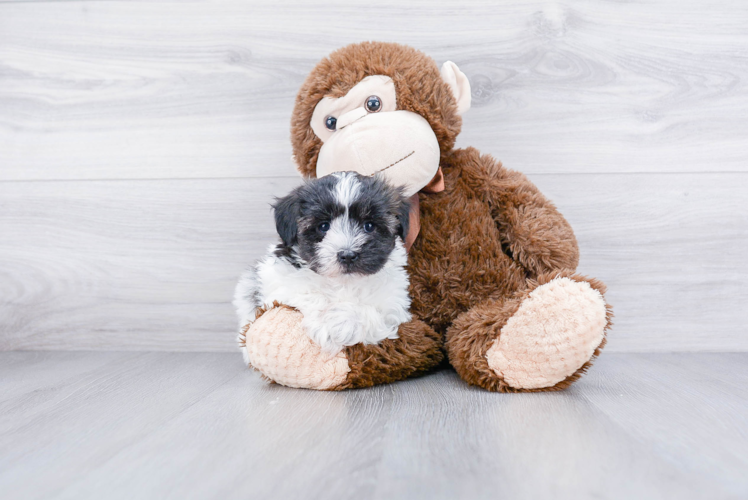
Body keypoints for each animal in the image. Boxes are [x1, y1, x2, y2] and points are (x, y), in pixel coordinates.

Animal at [234, 172, 412, 356]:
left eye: (369, 226)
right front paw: (325, 323)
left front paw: (340, 324)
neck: (344, 283)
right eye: (323, 226)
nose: (347, 255)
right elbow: (305, 292)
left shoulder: (394, 306)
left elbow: (374, 313)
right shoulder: (277, 281)